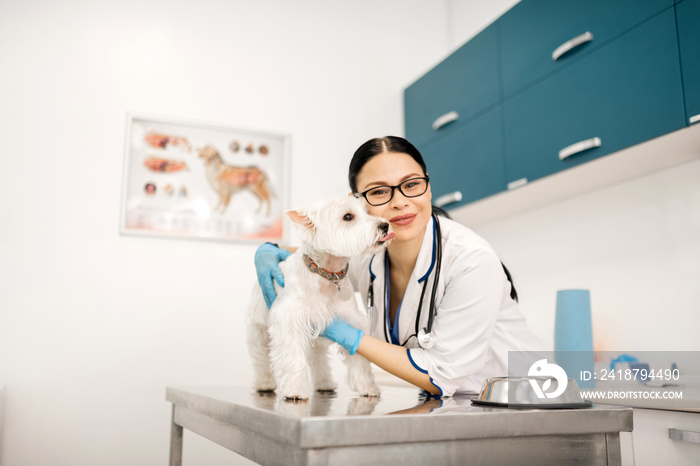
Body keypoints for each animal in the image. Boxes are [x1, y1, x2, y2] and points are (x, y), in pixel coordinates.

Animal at [247, 197, 394, 400]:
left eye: (367, 211)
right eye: (348, 216)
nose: (385, 225)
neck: (328, 275)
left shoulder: (351, 321)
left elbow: (359, 357)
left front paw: (367, 387)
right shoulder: (291, 321)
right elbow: (294, 357)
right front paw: (296, 390)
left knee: (317, 358)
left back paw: (324, 383)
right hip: (259, 326)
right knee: (260, 355)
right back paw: (264, 383)